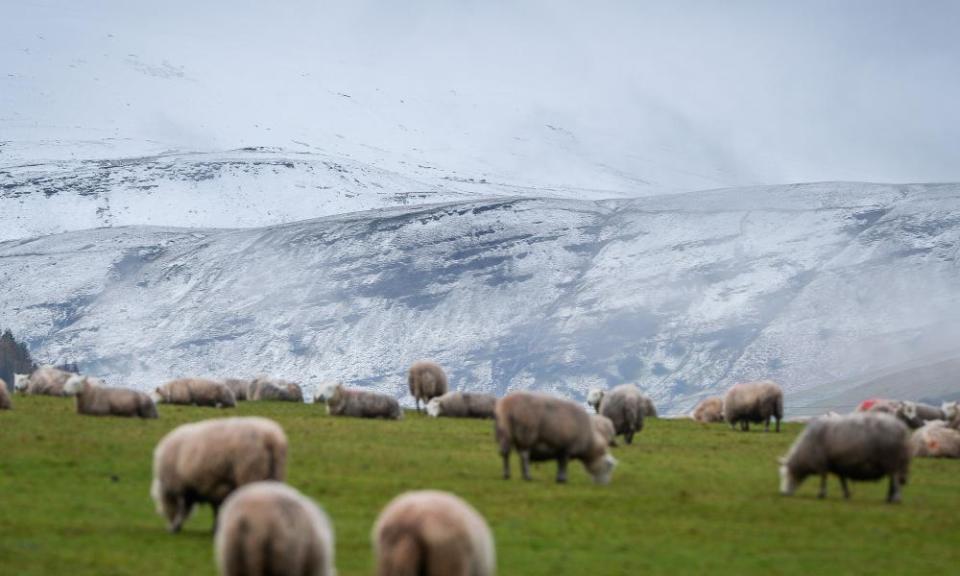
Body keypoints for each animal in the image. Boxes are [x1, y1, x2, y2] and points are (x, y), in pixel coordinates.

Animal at [151, 414, 288, 532]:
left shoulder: (185, 486)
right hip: (274, 474)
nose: (168, 527)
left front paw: (176, 526)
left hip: (251, 474)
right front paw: (216, 527)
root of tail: (269, 437)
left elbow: (184, 509)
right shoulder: (213, 487)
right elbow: (216, 508)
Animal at [776, 412, 912, 502]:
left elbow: (823, 479)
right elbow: (843, 480)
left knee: (895, 479)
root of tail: (902, 428)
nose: (783, 493)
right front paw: (846, 494)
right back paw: (889, 497)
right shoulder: (838, 464)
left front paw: (821, 494)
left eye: (785, 474)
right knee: (892, 480)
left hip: (892, 460)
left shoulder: (822, 463)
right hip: (892, 462)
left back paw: (895, 498)